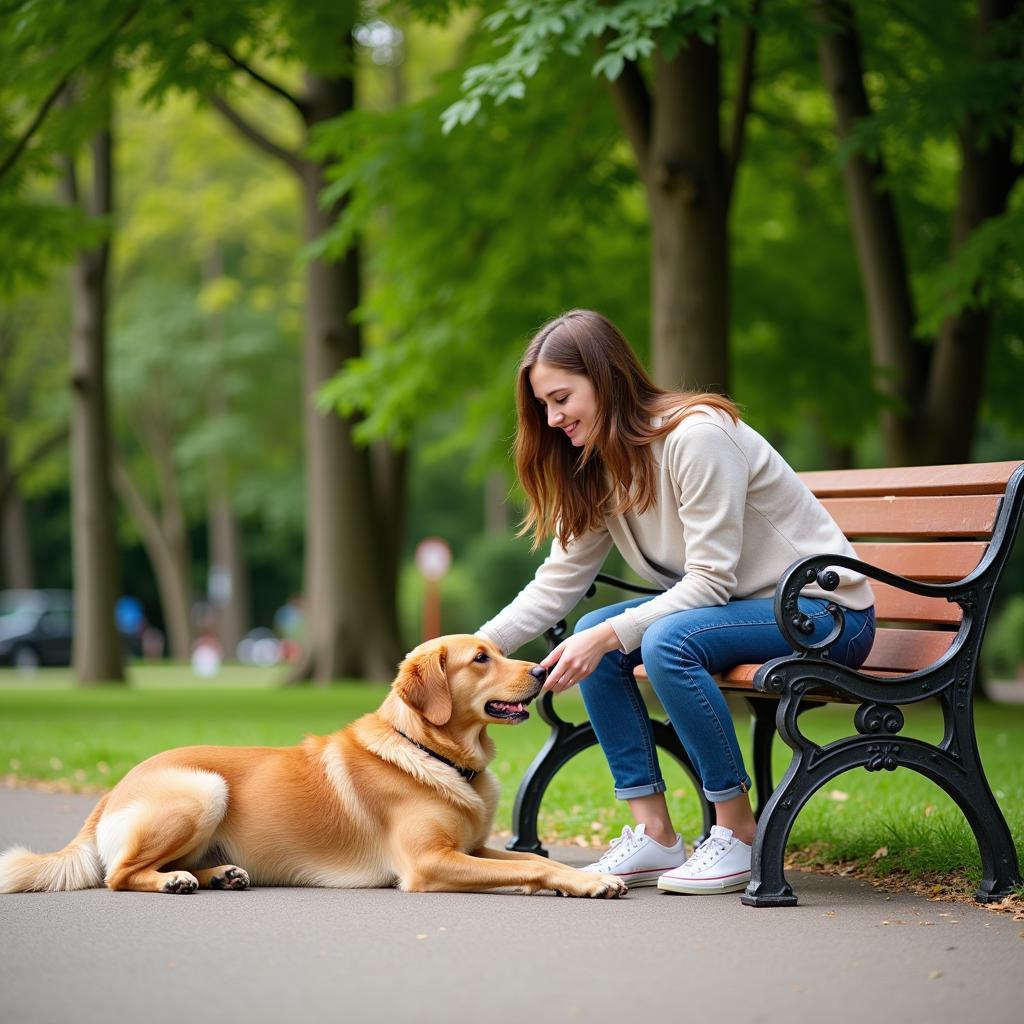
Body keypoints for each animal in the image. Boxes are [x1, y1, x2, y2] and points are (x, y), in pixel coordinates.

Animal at [0, 630, 626, 897]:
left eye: (498, 651)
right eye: (480, 659)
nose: (543, 671)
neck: (432, 752)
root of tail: (112, 789)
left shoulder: (470, 849)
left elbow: (530, 861)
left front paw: (583, 877)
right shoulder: (429, 863)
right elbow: (534, 867)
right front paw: (584, 883)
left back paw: (217, 875)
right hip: (203, 789)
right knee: (119, 875)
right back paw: (176, 881)